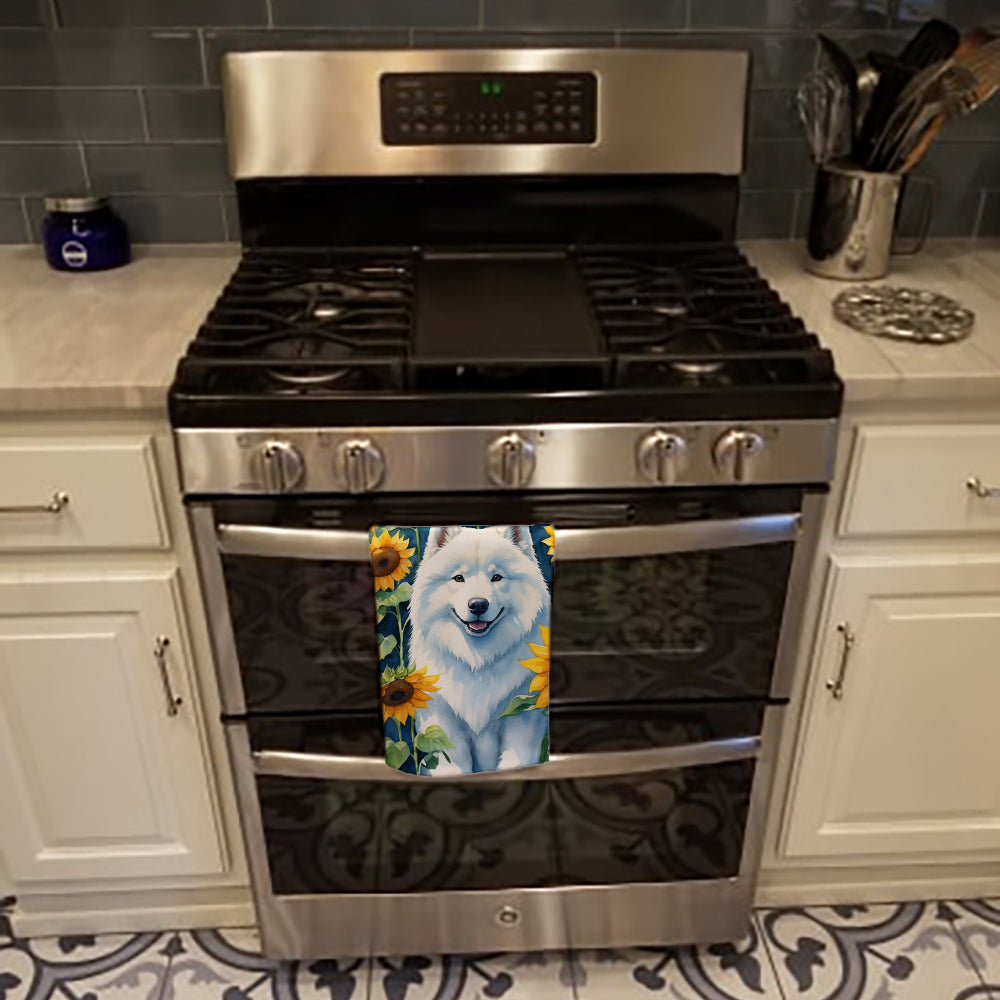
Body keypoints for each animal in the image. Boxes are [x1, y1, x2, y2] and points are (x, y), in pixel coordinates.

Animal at [408, 524, 556, 772]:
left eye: (496, 577)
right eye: (458, 578)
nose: (478, 604)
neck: (478, 660)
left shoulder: (522, 718)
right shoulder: (443, 724)